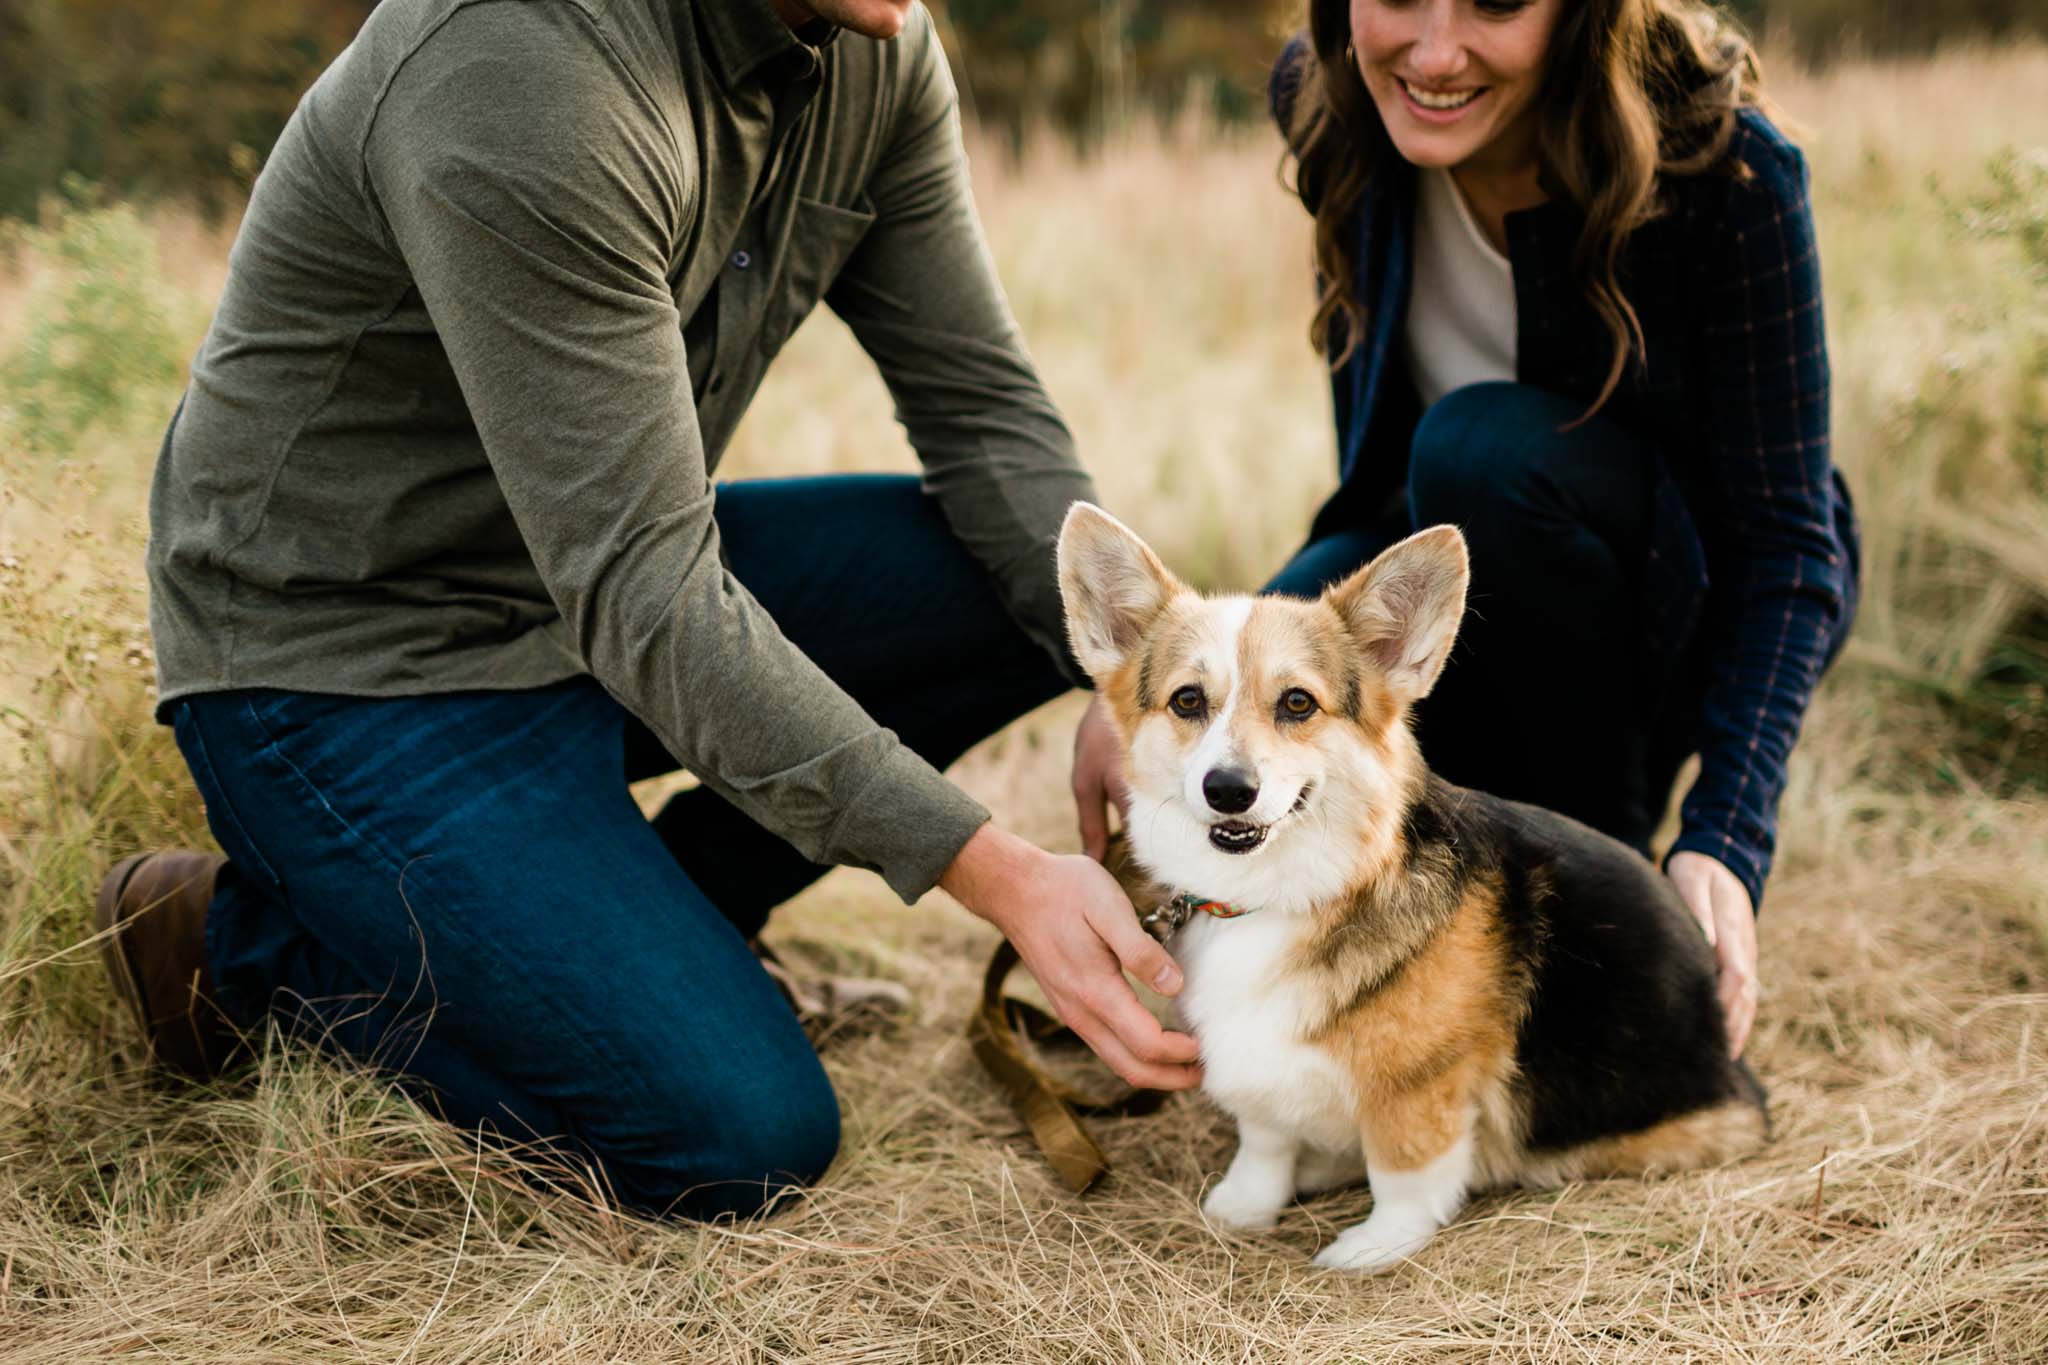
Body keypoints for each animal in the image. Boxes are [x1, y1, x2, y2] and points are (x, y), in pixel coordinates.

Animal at [1048, 507, 1769, 1277]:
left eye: (1297, 702)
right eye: (1188, 700)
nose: (1228, 789)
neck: (1279, 895)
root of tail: (1736, 1066)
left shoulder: (1422, 1087)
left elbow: (1404, 1170)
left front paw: (1375, 1244)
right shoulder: (1262, 1081)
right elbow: (1264, 1142)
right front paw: (1245, 1206)